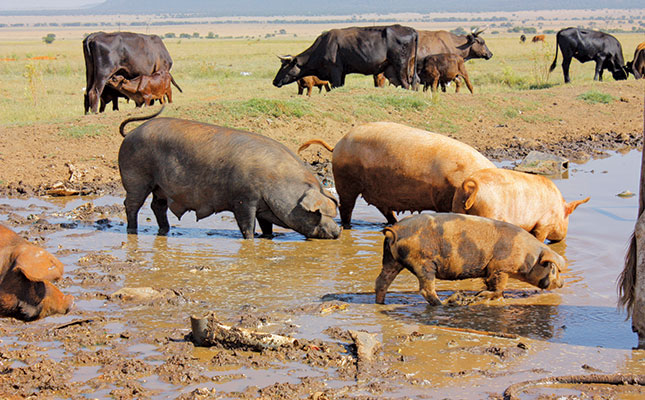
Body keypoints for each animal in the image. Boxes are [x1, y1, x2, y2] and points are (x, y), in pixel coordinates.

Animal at [118, 108, 341, 240]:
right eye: (318, 213)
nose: (338, 231)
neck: (275, 181)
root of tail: (131, 133)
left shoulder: (262, 207)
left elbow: (266, 226)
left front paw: (267, 238)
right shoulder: (244, 200)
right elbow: (247, 226)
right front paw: (251, 239)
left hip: (161, 188)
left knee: (157, 206)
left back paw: (165, 231)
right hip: (136, 178)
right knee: (131, 204)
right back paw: (132, 231)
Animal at [298, 122, 495, 227]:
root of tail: (338, 144)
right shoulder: (442, 199)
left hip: (375, 192)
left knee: (385, 210)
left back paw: (393, 223)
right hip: (346, 181)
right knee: (346, 208)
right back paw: (348, 226)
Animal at [375, 213, 565, 305]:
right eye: (553, 268)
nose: (562, 283)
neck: (527, 256)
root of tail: (395, 230)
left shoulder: (491, 270)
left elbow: (492, 286)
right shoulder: (500, 268)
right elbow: (498, 287)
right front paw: (480, 296)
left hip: (391, 259)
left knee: (381, 280)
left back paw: (381, 304)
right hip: (423, 262)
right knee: (425, 290)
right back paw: (450, 302)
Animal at [451, 168, 590, 242]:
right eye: (568, 220)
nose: (563, 238)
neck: (559, 208)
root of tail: (470, 186)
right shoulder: (544, 224)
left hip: (457, 205)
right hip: (488, 211)